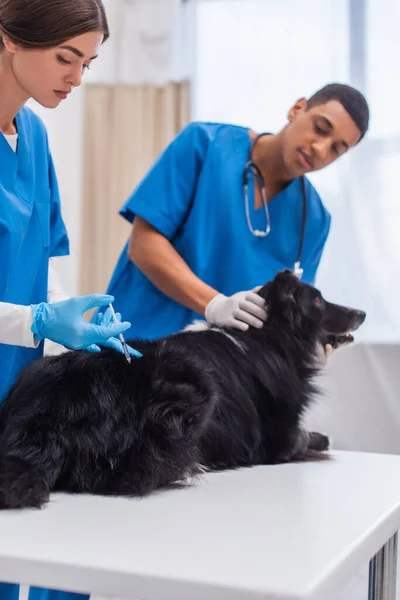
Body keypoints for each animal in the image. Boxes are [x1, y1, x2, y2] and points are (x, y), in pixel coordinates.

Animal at [0, 270, 366, 508]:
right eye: (317, 301)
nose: (361, 312)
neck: (269, 337)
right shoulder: (280, 438)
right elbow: (304, 437)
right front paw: (322, 439)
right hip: (190, 386)